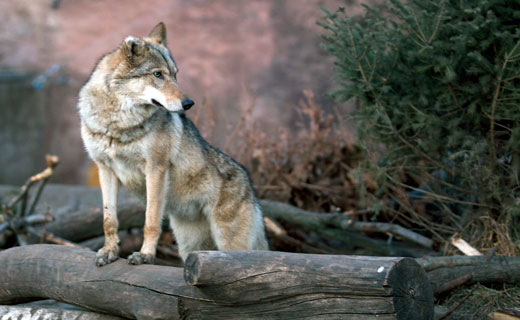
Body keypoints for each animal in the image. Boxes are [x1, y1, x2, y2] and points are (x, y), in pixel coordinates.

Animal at [77, 22, 268, 266]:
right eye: (158, 74)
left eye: (175, 75)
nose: (189, 103)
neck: (118, 124)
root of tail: (251, 186)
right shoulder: (105, 169)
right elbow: (109, 219)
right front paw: (109, 251)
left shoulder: (155, 169)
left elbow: (150, 220)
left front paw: (145, 255)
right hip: (190, 248)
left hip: (230, 245)